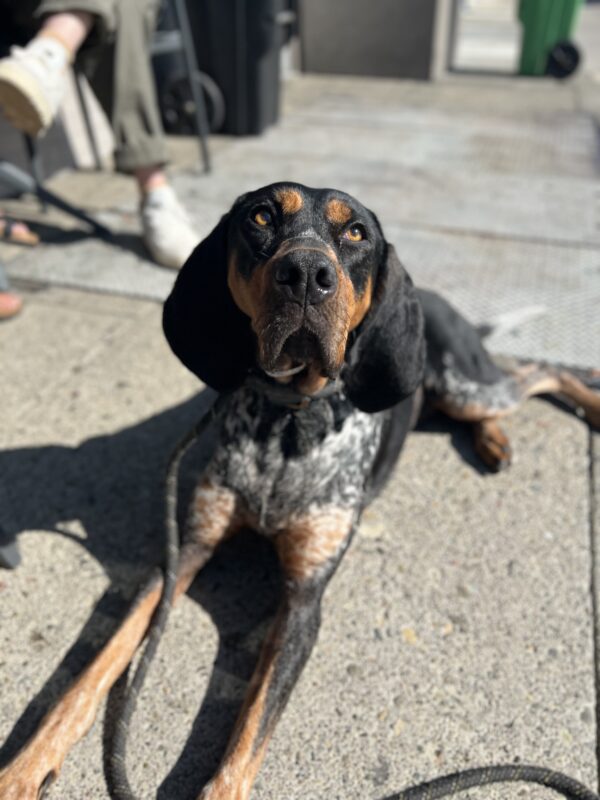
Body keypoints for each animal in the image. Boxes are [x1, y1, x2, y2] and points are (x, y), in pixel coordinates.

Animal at [1, 183, 600, 800]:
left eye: (356, 232)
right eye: (261, 217)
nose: (307, 273)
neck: (287, 418)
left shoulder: (304, 600)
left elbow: (246, 736)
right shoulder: (181, 553)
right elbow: (90, 671)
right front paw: (24, 767)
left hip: (466, 384)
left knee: (540, 374)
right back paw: (493, 441)